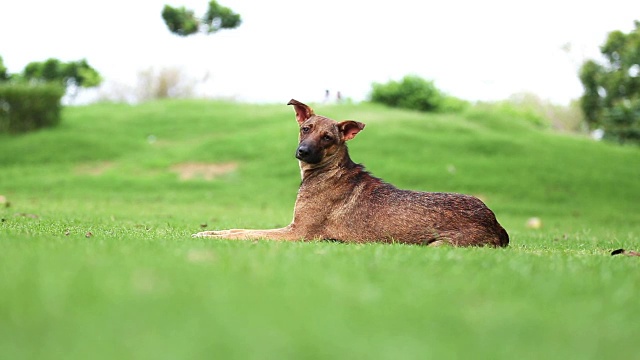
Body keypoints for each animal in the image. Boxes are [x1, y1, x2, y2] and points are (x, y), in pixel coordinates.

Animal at [192, 98, 508, 246]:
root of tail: (497, 224)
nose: (302, 151)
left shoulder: (299, 233)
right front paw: (207, 232)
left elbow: (246, 234)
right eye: (305, 129)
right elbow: (238, 229)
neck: (325, 172)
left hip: (439, 245)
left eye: (327, 138)